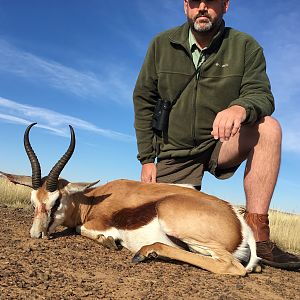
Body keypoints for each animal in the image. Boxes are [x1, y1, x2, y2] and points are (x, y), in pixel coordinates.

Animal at [0, 123, 258, 276]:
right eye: (33, 202)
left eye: (56, 202)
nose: (36, 234)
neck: (91, 201)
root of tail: (238, 221)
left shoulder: (99, 223)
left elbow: (83, 229)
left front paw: (109, 241)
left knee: (231, 266)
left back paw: (145, 252)